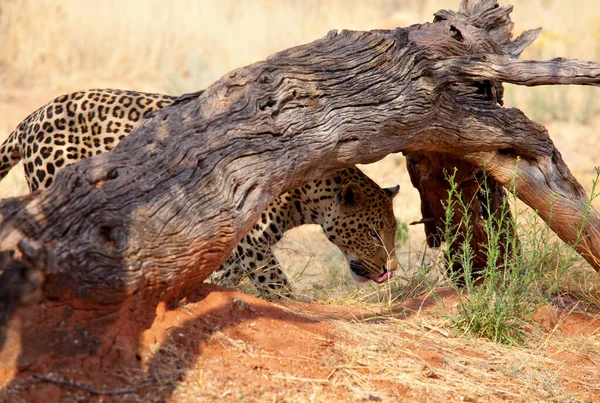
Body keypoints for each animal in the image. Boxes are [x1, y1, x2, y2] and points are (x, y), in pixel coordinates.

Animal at [1, 90, 404, 298]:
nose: (391, 269)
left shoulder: (237, 246)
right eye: (372, 233)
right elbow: (276, 285)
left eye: (391, 232)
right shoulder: (250, 243)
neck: (306, 193)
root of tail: (31, 117)